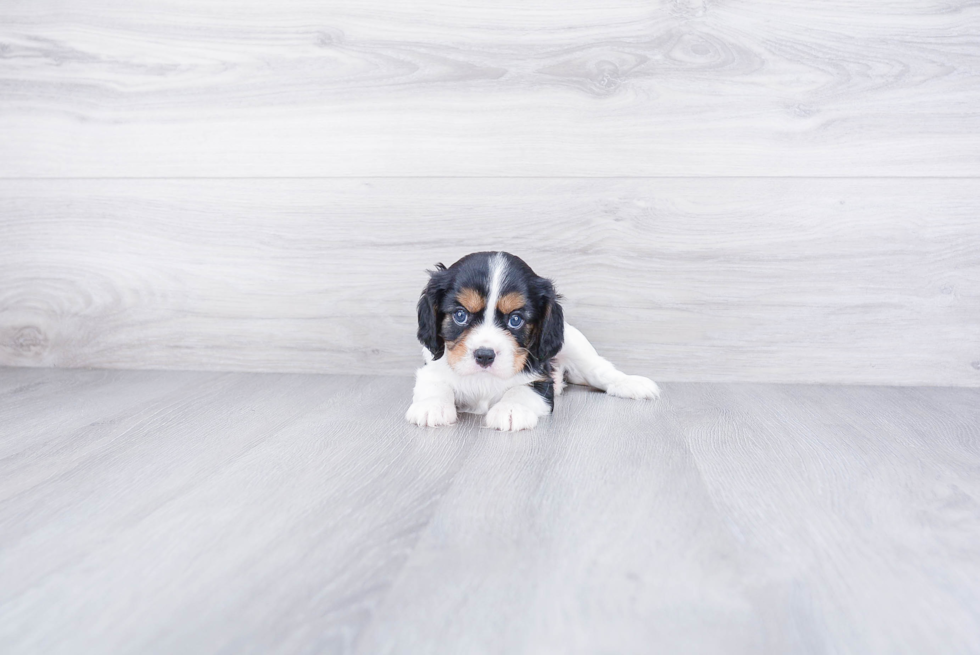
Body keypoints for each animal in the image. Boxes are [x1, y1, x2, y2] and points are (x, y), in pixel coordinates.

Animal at [406, 254, 660, 434]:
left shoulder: (541, 380)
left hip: (576, 344)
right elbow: (436, 385)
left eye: (516, 319)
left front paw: (510, 409)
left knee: (599, 370)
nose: (485, 355)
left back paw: (631, 384)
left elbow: (521, 390)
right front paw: (432, 406)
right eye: (460, 315)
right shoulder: (432, 368)